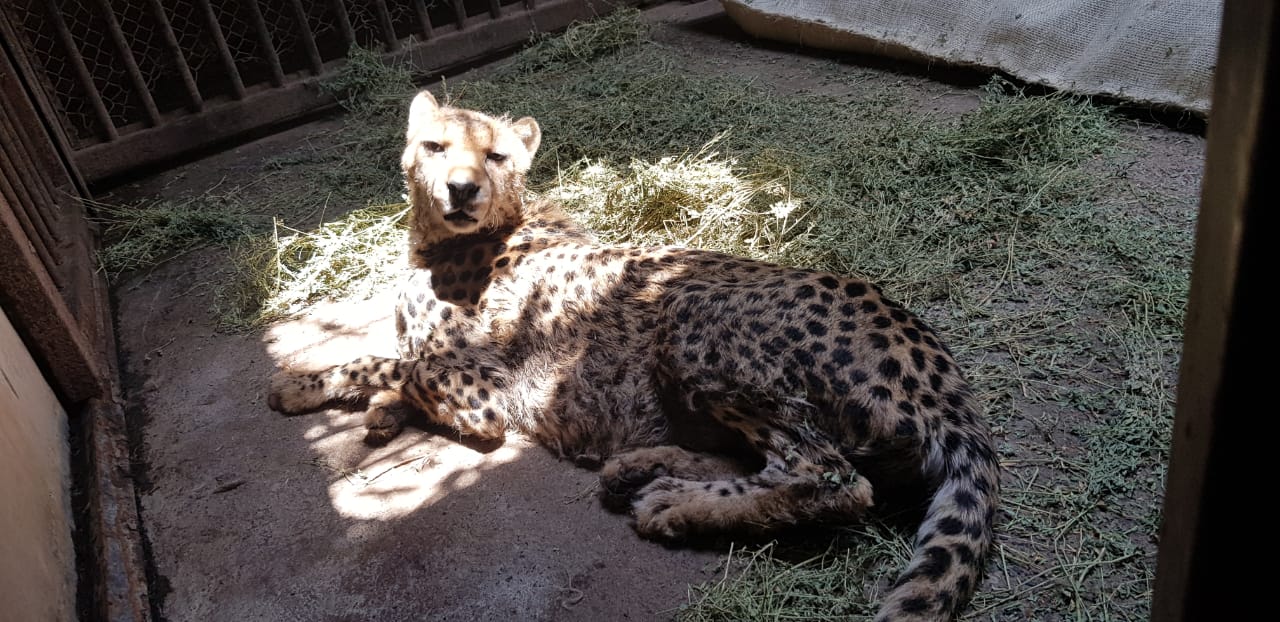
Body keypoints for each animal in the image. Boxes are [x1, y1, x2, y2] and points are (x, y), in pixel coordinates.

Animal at [268, 91, 1000, 621]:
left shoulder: (485, 395)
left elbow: (389, 361)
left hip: (689, 312)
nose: (462, 189)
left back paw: (674, 504)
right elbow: (399, 362)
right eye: (436, 146)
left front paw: (303, 384)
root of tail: (940, 372)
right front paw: (379, 413)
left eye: (496, 157)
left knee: (829, 477)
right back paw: (642, 468)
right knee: (778, 460)